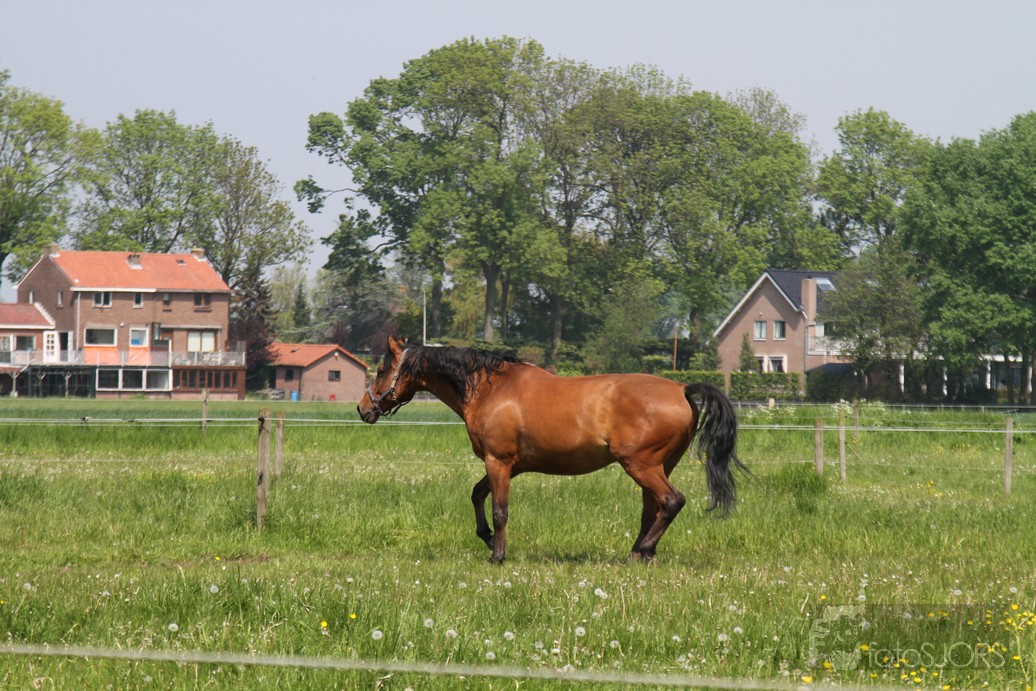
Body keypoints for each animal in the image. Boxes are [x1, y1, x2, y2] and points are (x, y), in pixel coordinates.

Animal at [358, 335, 743, 563]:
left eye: (382, 369)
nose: (363, 409)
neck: (490, 389)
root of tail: (681, 388)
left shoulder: (499, 463)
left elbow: (500, 510)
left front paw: (497, 555)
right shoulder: (506, 465)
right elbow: (477, 495)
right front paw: (486, 539)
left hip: (640, 465)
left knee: (671, 501)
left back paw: (644, 550)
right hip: (659, 466)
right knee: (653, 509)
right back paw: (639, 554)